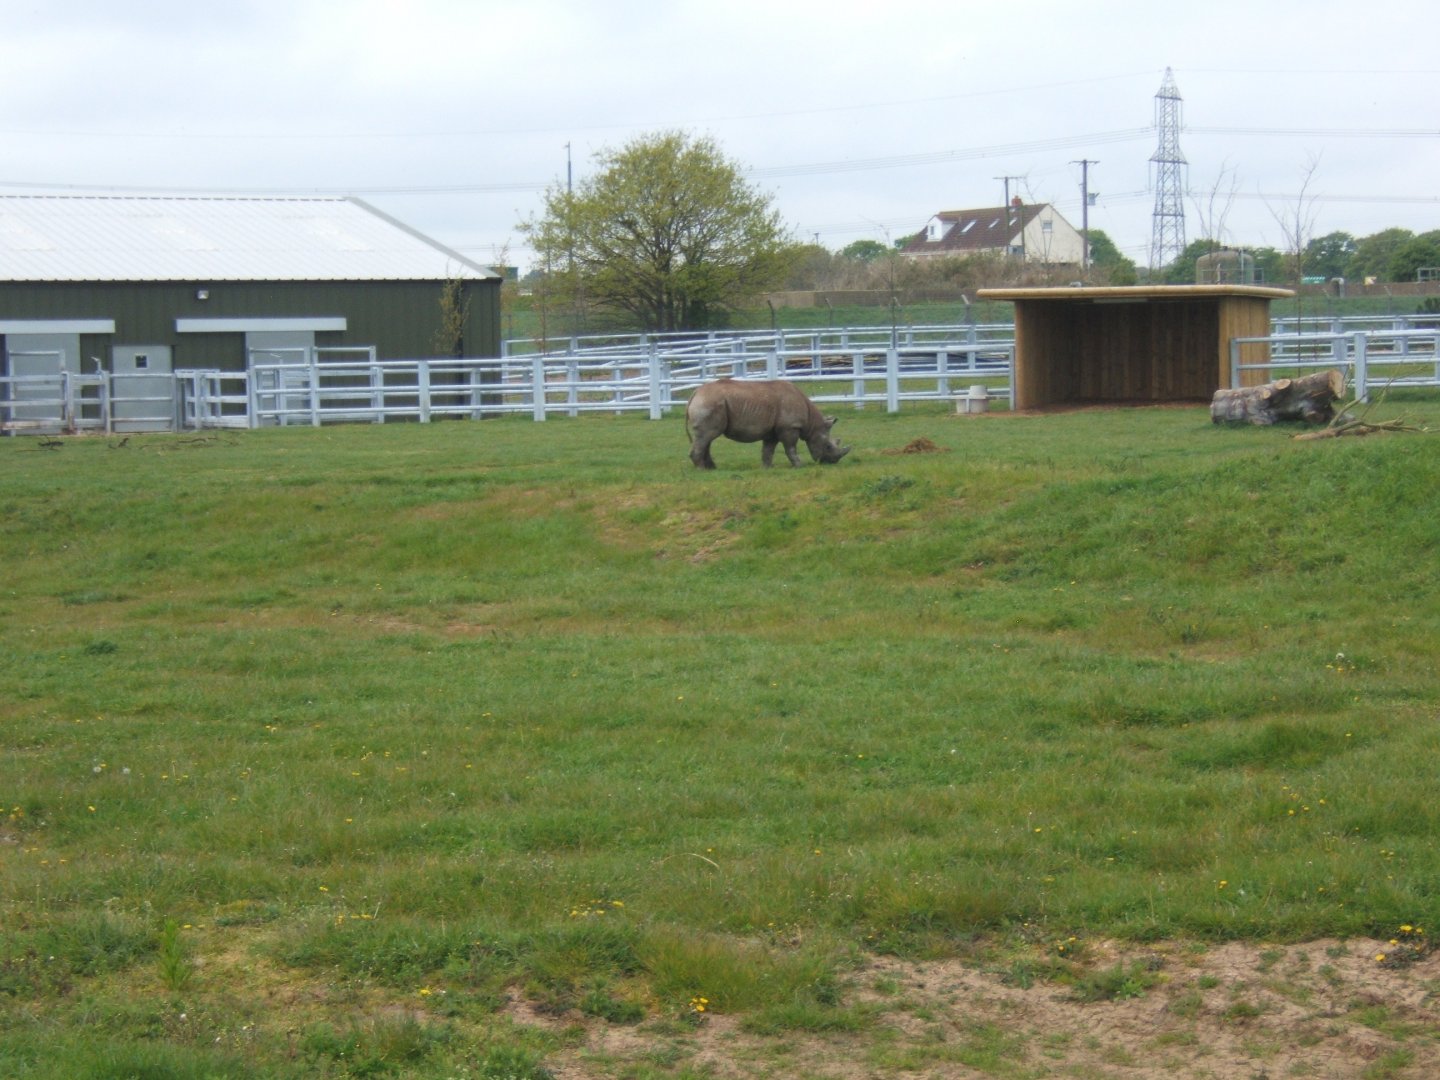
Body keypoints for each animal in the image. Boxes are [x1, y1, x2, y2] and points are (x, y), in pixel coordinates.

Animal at [685, 378, 850, 469]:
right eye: (828, 446)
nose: (832, 462)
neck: (813, 424)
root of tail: (696, 393)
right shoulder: (790, 427)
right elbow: (790, 448)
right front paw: (799, 466)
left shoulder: (773, 431)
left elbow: (768, 450)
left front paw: (768, 468)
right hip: (709, 402)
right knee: (706, 436)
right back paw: (701, 470)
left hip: (709, 402)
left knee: (707, 438)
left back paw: (711, 469)